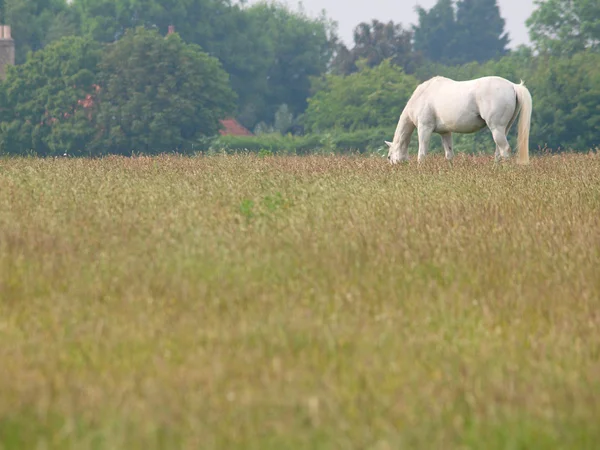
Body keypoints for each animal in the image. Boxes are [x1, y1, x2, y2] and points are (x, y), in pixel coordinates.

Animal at [386, 75, 532, 165]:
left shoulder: (424, 128)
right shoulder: (445, 133)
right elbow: (449, 154)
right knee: (498, 151)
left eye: (388, 156)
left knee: (505, 150)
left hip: (496, 128)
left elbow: (421, 153)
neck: (422, 95)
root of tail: (513, 86)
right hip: (503, 129)